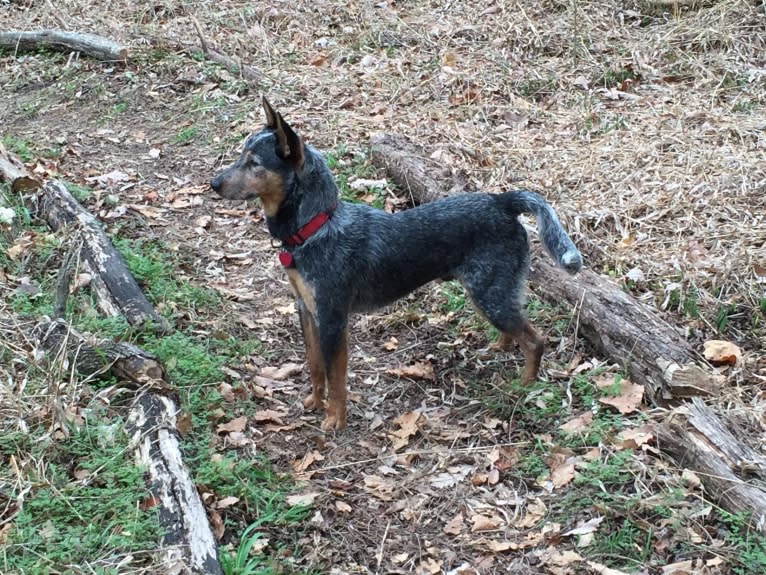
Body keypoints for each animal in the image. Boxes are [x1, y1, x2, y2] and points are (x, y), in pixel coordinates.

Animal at [210, 100, 584, 432]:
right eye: (241, 155)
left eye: (254, 163)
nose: (214, 183)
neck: (316, 227)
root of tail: (503, 201)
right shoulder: (306, 309)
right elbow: (315, 366)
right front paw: (314, 404)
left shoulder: (333, 319)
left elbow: (336, 378)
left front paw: (334, 420)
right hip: (492, 293)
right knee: (516, 329)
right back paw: (499, 348)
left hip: (489, 294)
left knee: (535, 341)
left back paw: (524, 385)